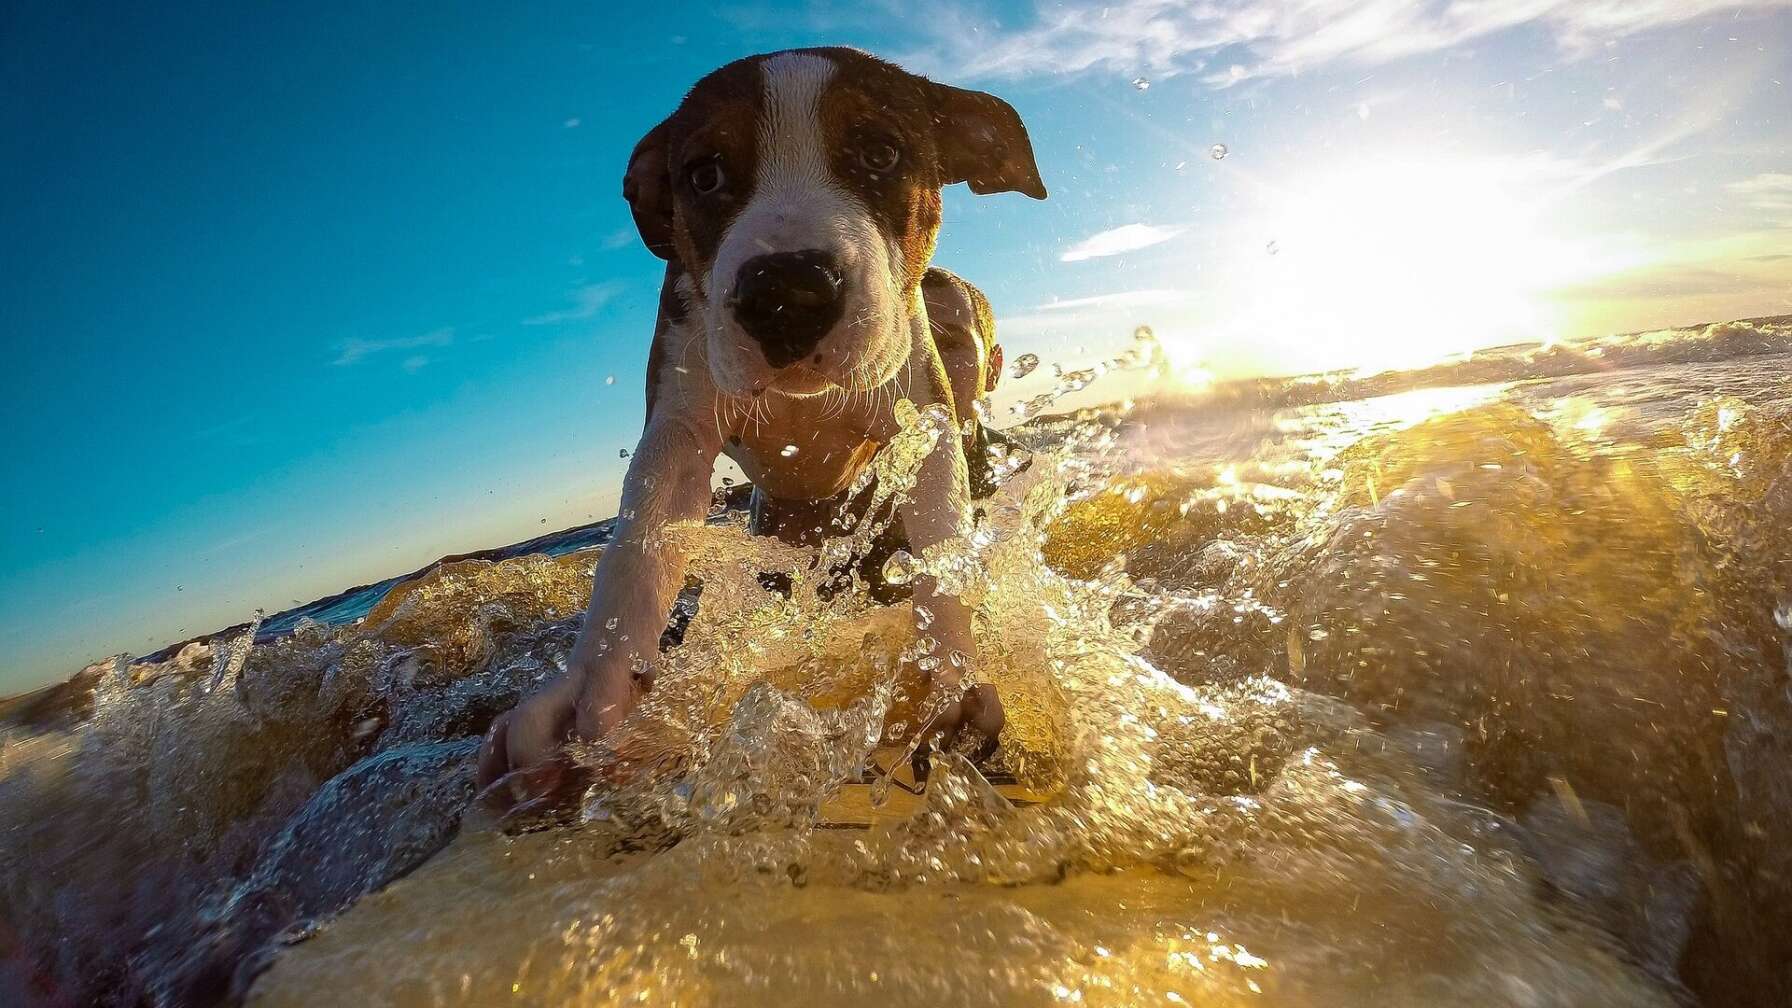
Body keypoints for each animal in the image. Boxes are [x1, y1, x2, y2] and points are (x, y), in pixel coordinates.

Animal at [476, 49, 1046, 807]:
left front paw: (946, 674)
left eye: (880, 152)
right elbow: (639, 547)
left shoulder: (920, 416)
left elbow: (941, 542)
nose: (787, 291)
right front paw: (593, 690)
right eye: (705, 175)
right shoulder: (678, 423)